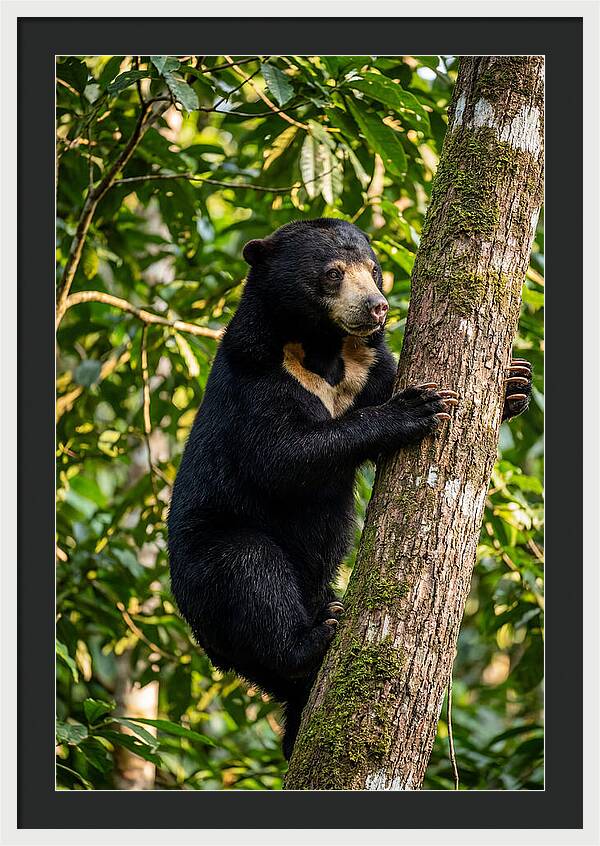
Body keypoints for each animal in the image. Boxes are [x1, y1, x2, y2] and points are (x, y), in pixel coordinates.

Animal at [167, 218, 532, 760]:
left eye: (375, 270)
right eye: (333, 273)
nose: (377, 306)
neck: (322, 349)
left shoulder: (367, 366)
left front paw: (514, 383)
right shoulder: (256, 376)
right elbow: (281, 456)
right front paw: (417, 407)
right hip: (206, 559)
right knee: (248, 570)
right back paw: (317, 635)